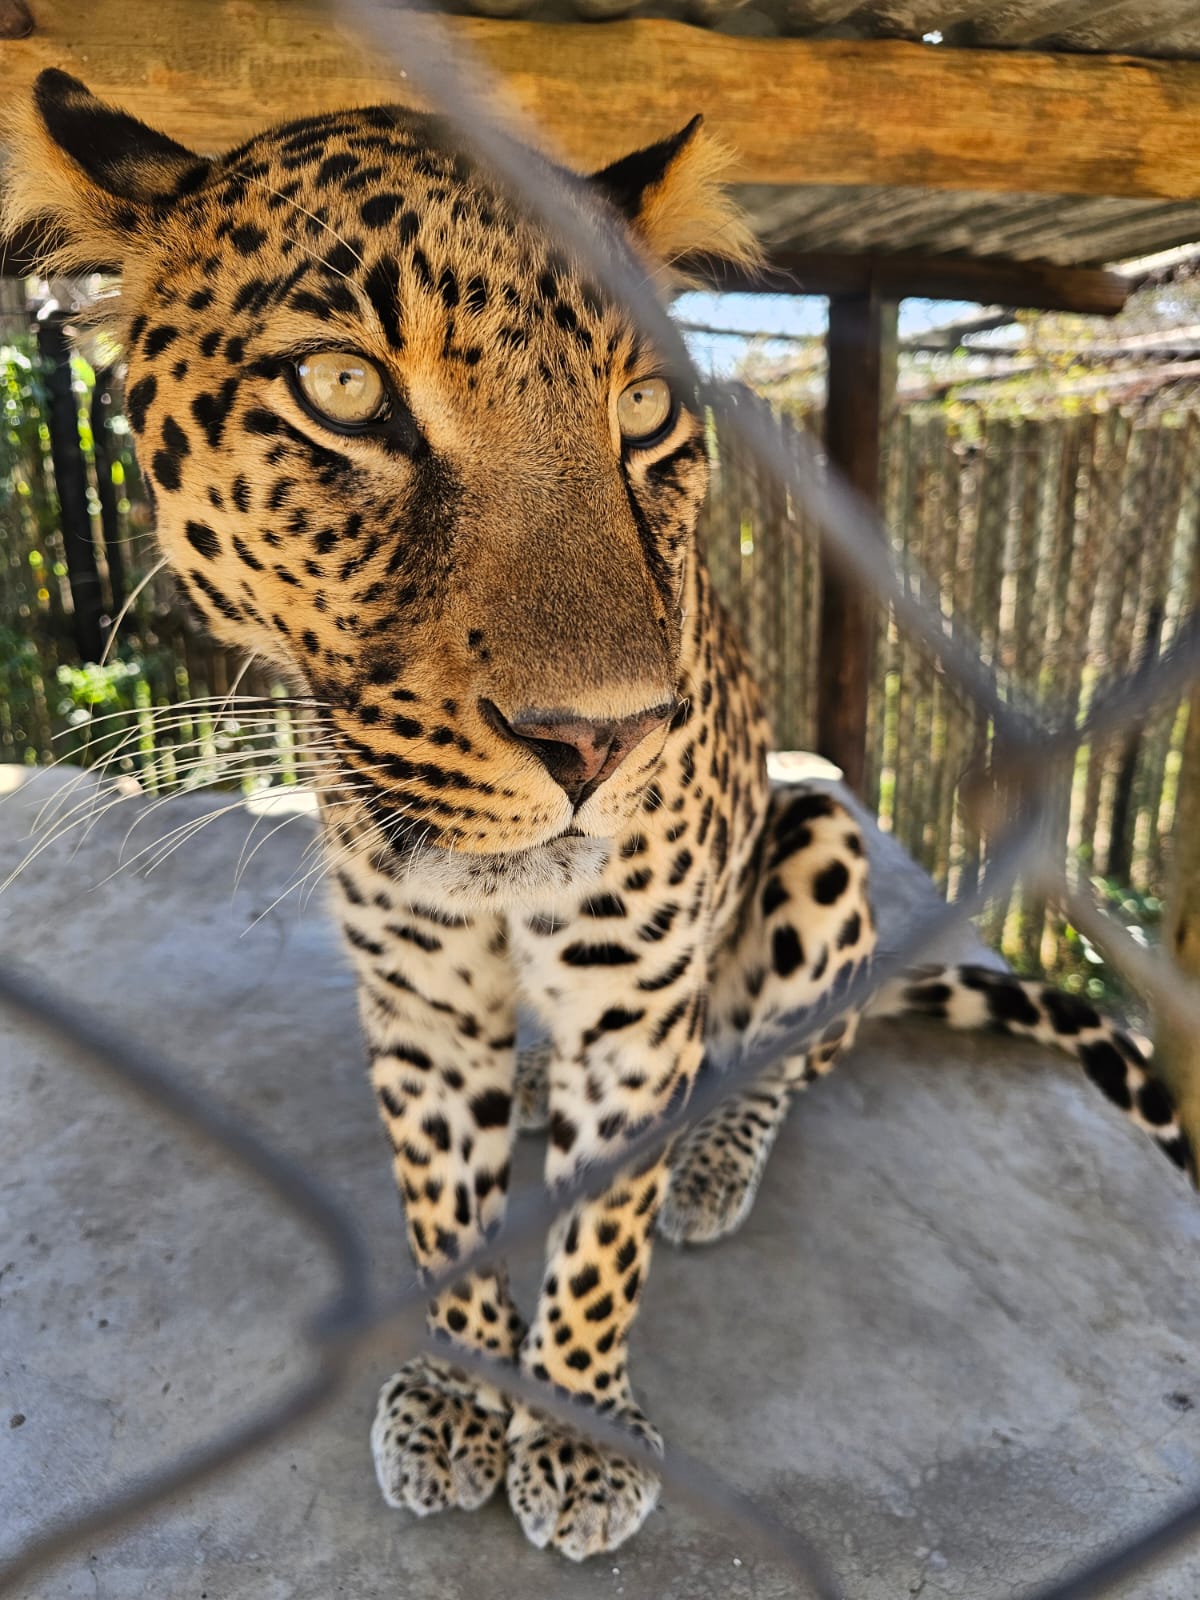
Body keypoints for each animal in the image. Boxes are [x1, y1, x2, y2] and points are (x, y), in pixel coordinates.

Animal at [5, 68, 1193, 1563]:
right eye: (344, 388)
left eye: (640, 410)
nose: (602, 739)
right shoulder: (417, 1006)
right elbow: (442, 1210)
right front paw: (462, 1391)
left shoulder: (635, 1012)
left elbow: (605, 1238)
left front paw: (572, 1428)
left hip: (818, 846)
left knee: (781, 1060)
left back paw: (711, 1161)